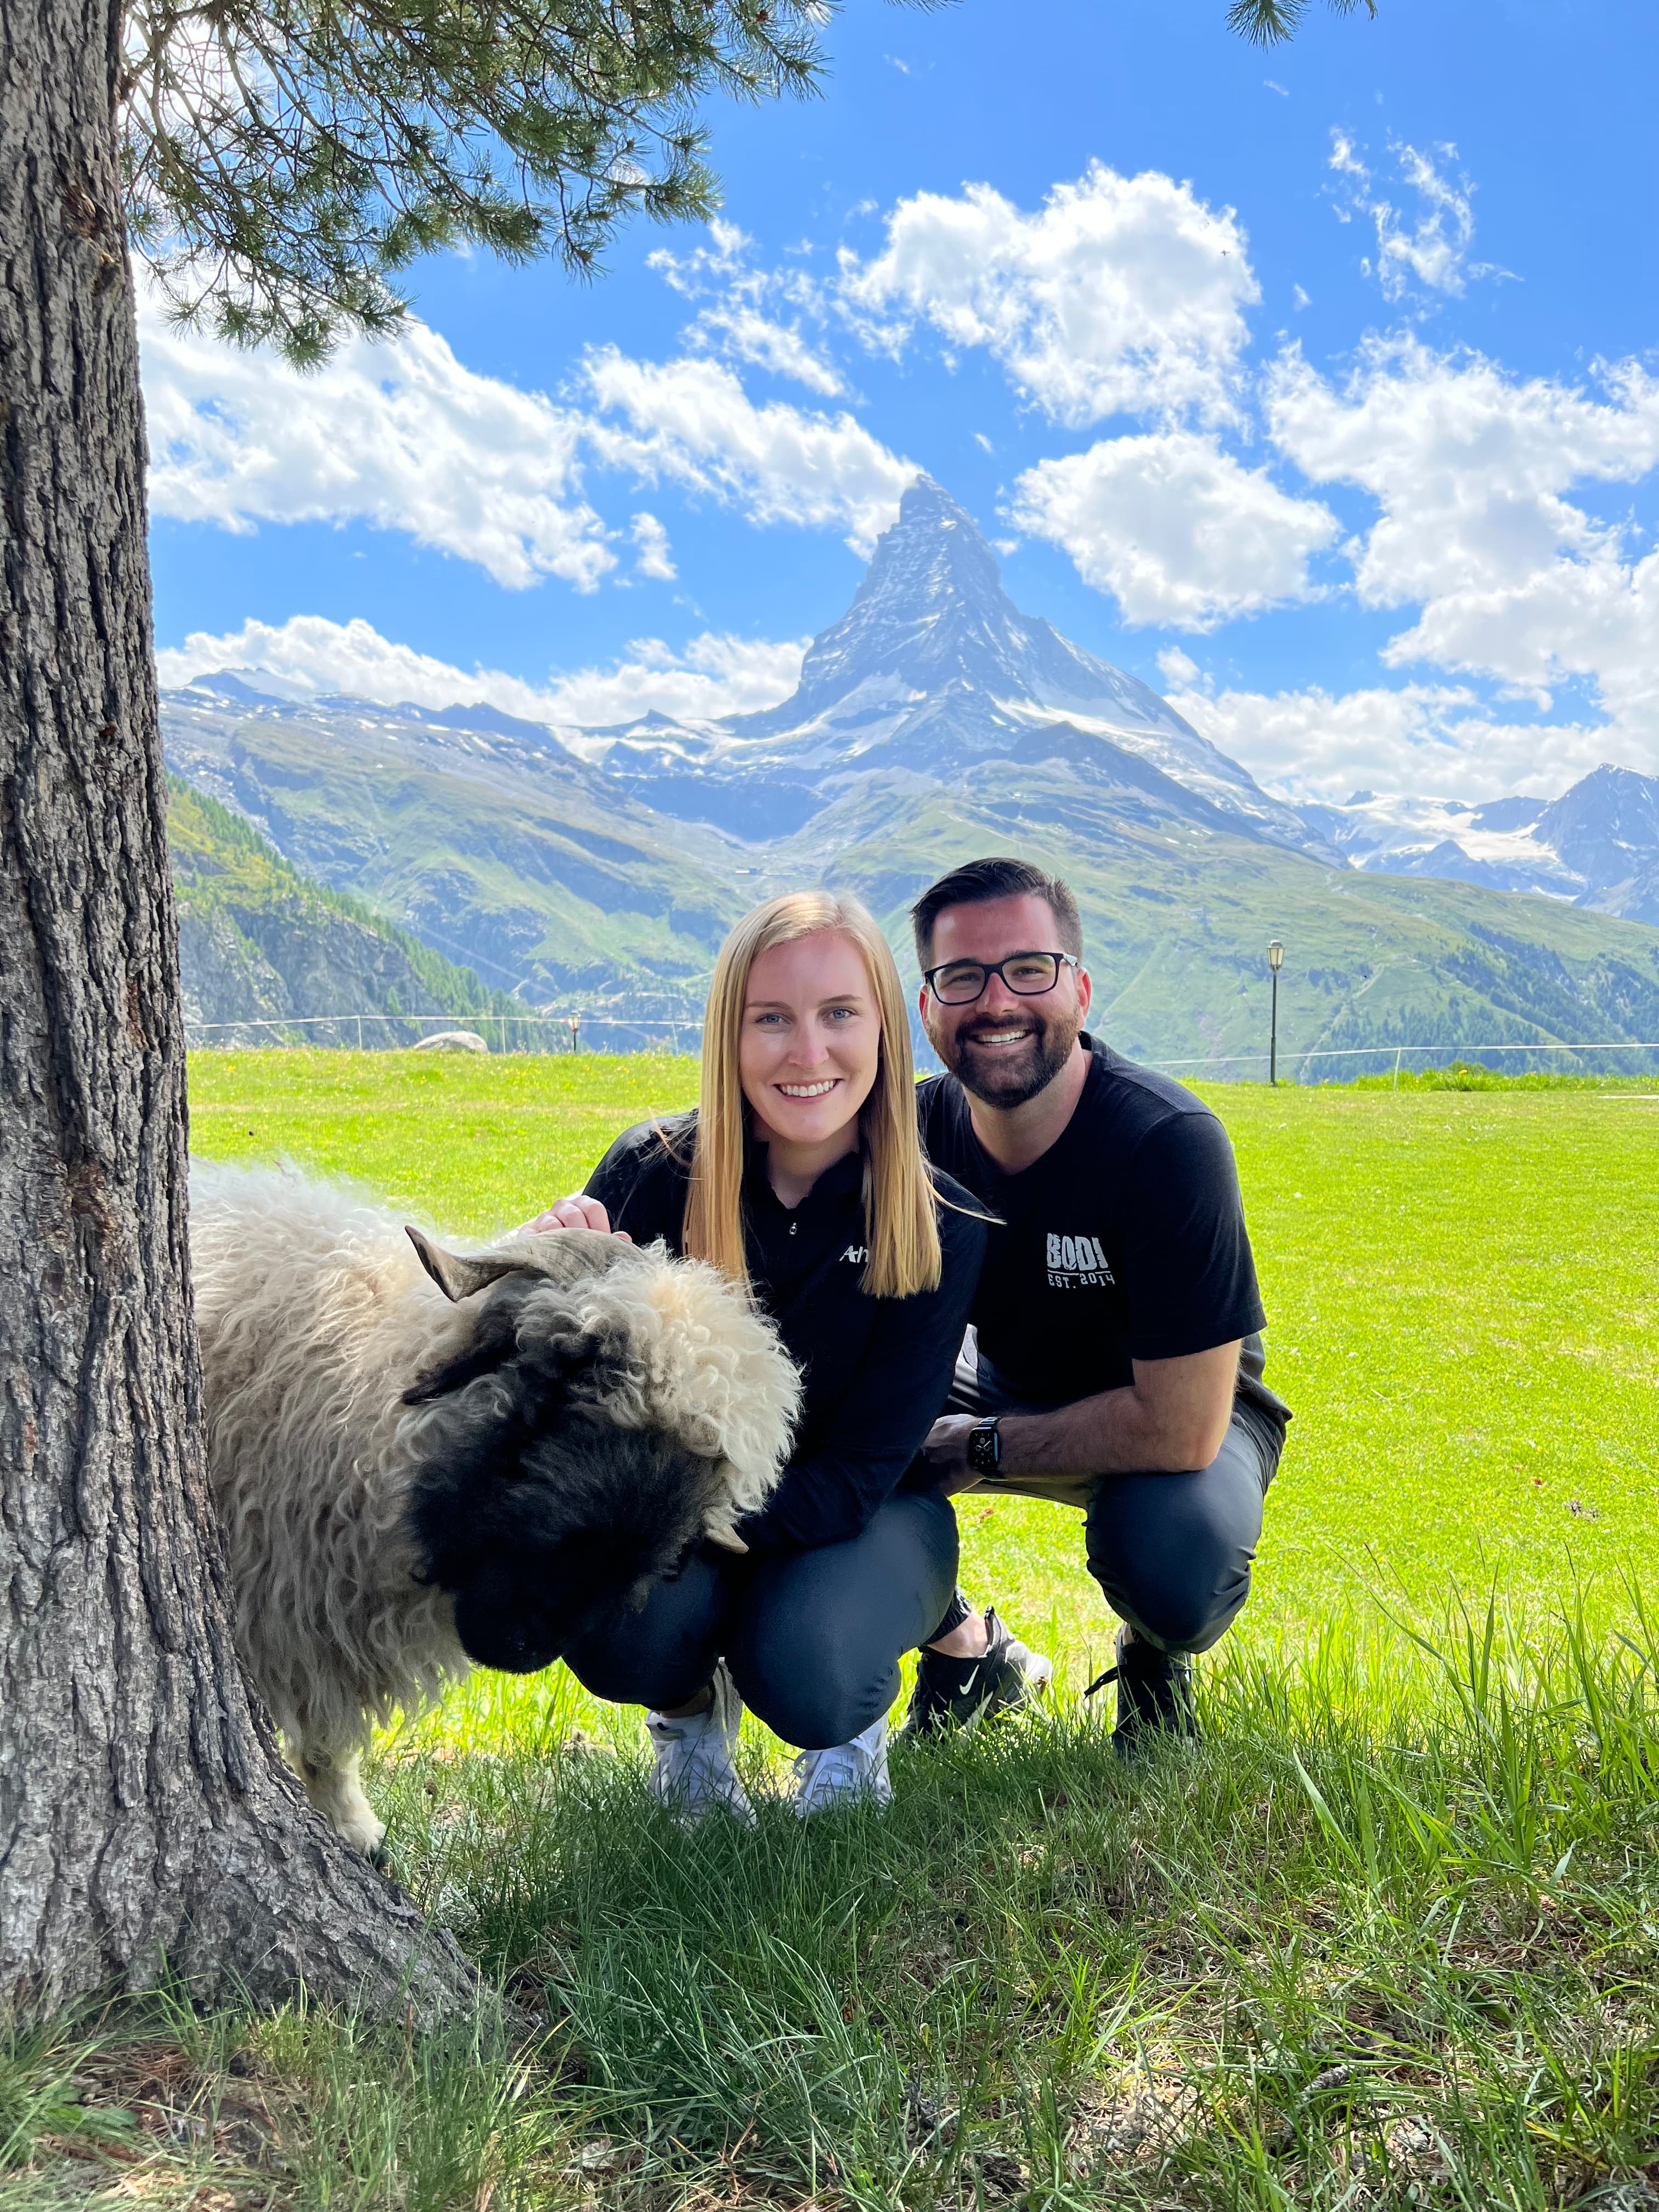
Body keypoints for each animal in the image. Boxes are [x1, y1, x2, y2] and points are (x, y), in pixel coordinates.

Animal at [190, 1162, 801, 1856]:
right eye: (565, 1374)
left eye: (708, 1475)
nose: (531, 1642)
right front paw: (352, 1827)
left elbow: (324, 1730)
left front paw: (351, 1827)